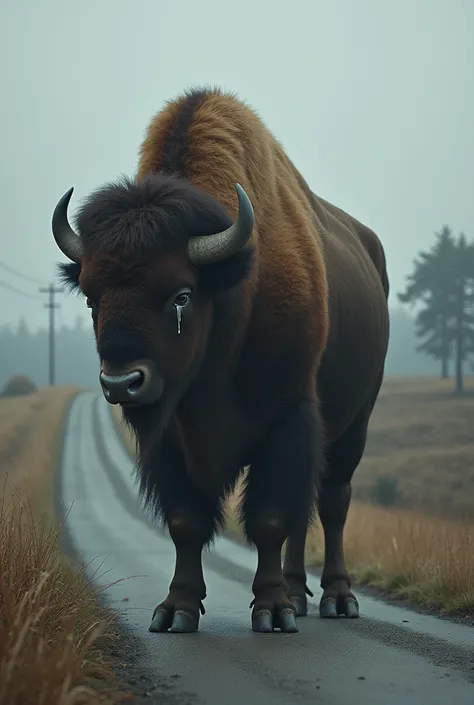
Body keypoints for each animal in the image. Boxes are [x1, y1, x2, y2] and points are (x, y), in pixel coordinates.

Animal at [51, 86, 388, 632]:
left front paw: (272, 611)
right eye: (90, 298)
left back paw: (337, 599)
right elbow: (186, 522)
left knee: (333, 501)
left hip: (355, 422)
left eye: (181, 295)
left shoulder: (287, 418)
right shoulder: (171, 438)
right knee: (307, 511)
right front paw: (176, 610)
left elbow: (270, 518)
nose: (122, 383)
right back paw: (297, 593)